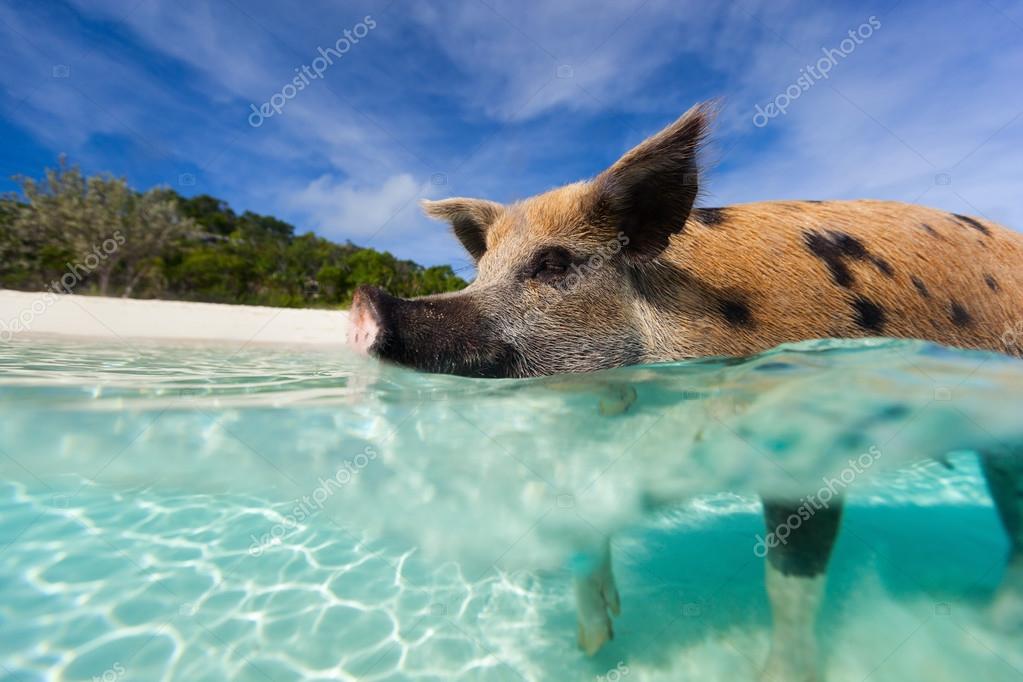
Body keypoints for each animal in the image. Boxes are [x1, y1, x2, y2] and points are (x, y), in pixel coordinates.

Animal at [348, 101, 1023, 681]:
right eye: (480, 272)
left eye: (555, 264)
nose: (366, 301)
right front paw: (594, 645)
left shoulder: (808, 448)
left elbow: (790, 581)